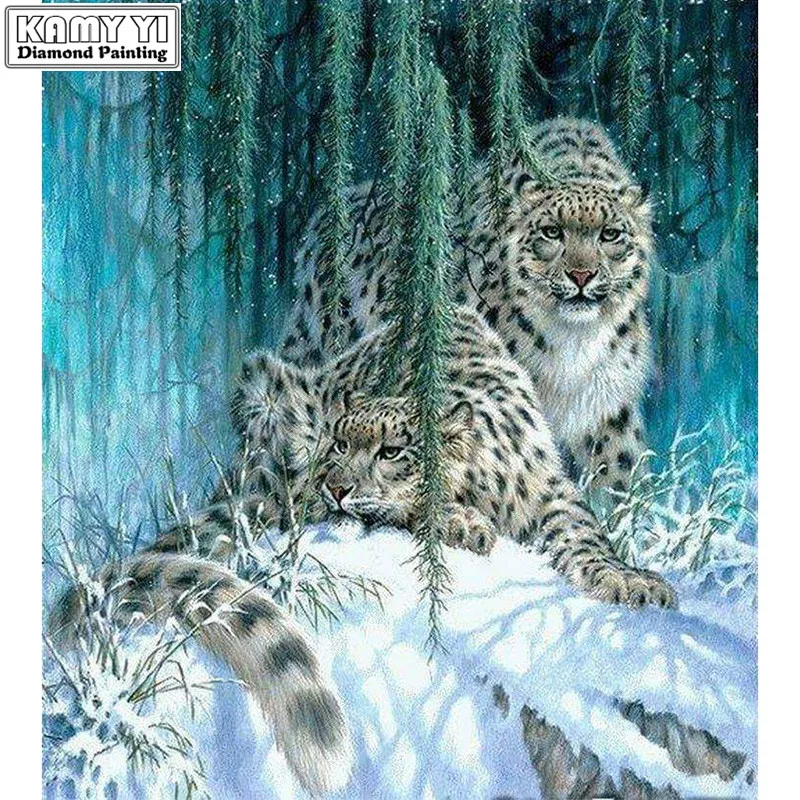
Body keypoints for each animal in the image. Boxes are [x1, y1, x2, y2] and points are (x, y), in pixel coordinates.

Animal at [280, 117, 654, 496]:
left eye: (610, 234)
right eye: (552, 232)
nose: (581, 275)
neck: (573, 342)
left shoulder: (608, 408)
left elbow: (620, 472)